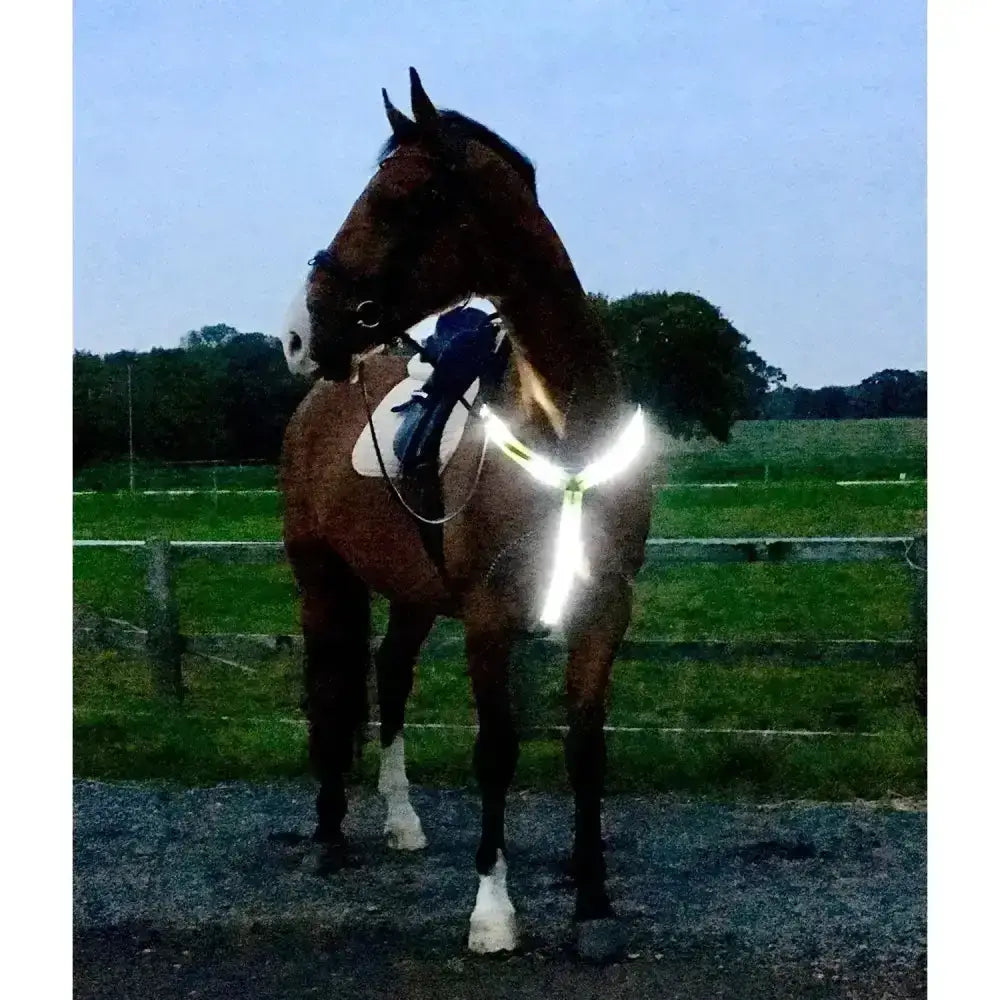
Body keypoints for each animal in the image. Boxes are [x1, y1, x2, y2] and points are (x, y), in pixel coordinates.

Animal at [279, 68, 652, 960]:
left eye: (395, 200)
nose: (299, 334)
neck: (563, 425)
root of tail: (314, 405)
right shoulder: (488, 615)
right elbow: (496, 752)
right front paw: (492, 913)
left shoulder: (604, 609)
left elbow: (585, 749)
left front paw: (592, 906)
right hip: (321, 579)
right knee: (331, 690)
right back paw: (330, 836)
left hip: (413, 593)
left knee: (390, 676)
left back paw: (402, 822)